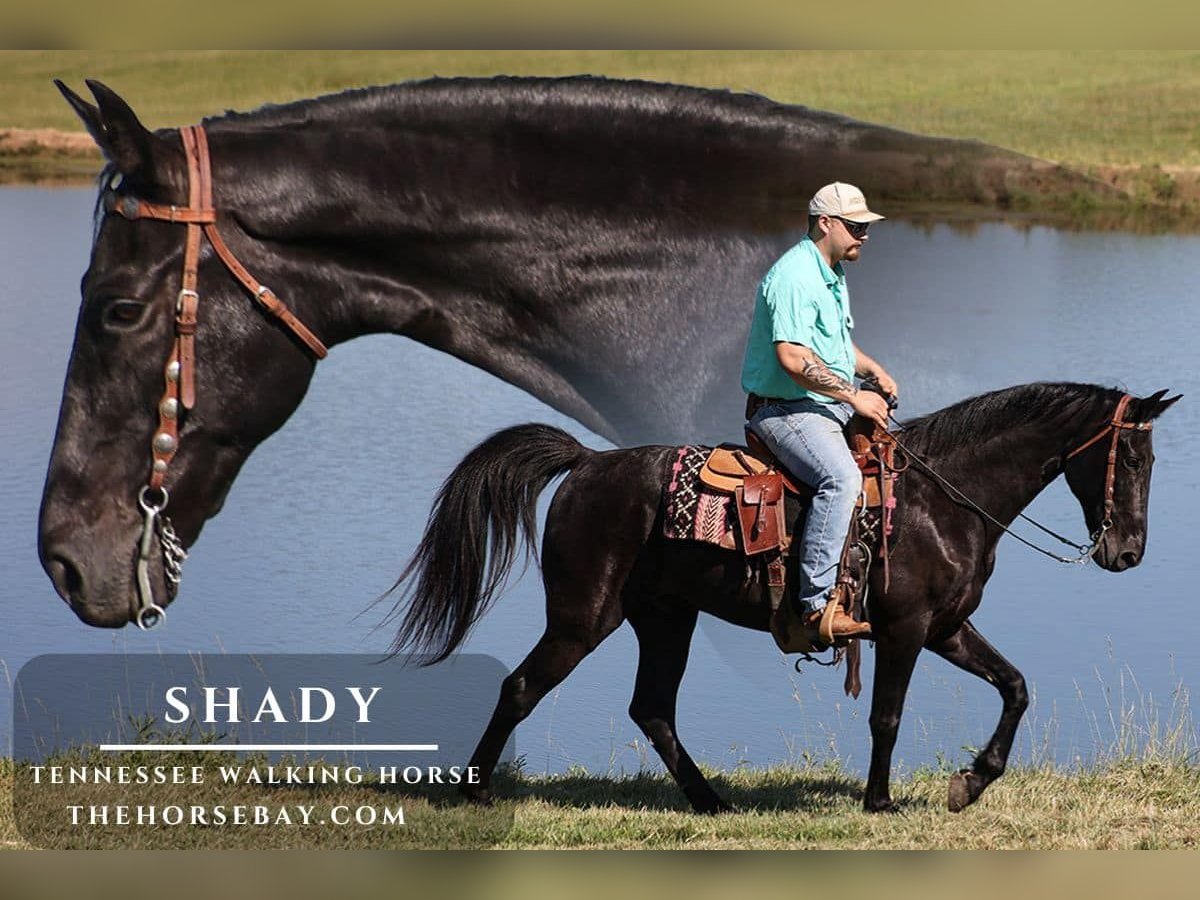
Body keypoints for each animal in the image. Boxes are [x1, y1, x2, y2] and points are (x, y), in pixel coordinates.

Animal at [390, 384, 1178, 813]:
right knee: (523, 687)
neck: (944, 499)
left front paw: (972, 782)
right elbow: (888, 717)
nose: (1129, 553)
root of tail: (586, 464)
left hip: (666, 619)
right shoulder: (905, 629)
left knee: (653, 710)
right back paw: (477, 790)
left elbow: (1015, 687)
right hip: (583, 618)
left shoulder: (949, 627)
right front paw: (880, 801)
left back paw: (711, 802)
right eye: (1136, 458)